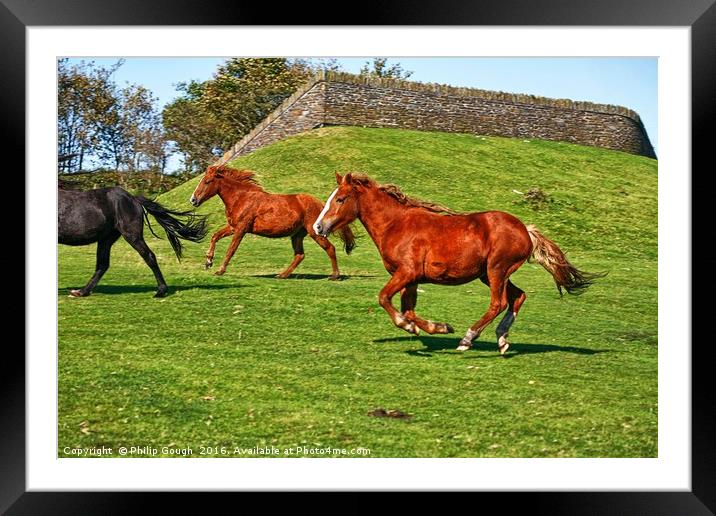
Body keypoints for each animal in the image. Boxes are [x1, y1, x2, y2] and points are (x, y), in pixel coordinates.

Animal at [189, 165, 354, 278]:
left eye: (207, 181)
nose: (193, 200)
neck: (241, 198)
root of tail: (319, 203)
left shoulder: (241, 228)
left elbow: (231, 249)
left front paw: (220, 270)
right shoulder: (232, 227)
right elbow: (215, 236)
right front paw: (208, 262)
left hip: (314, 232)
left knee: (330, 248)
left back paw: (335, 276)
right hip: (297, 235)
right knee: (299, 255)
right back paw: (282, 275)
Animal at [314, 173, 604, 354]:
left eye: (340, 199)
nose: (318, 227)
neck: (396, 225)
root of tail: (525, 229)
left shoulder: (406, 273)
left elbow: (385, 298)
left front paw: (412, 327)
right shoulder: (411, 279)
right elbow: (409, 309)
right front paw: (437, 327)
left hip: (496, 270)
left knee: (498, 303)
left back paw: (468, 338)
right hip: (490, 274)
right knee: (518, 297)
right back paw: (502, 340)